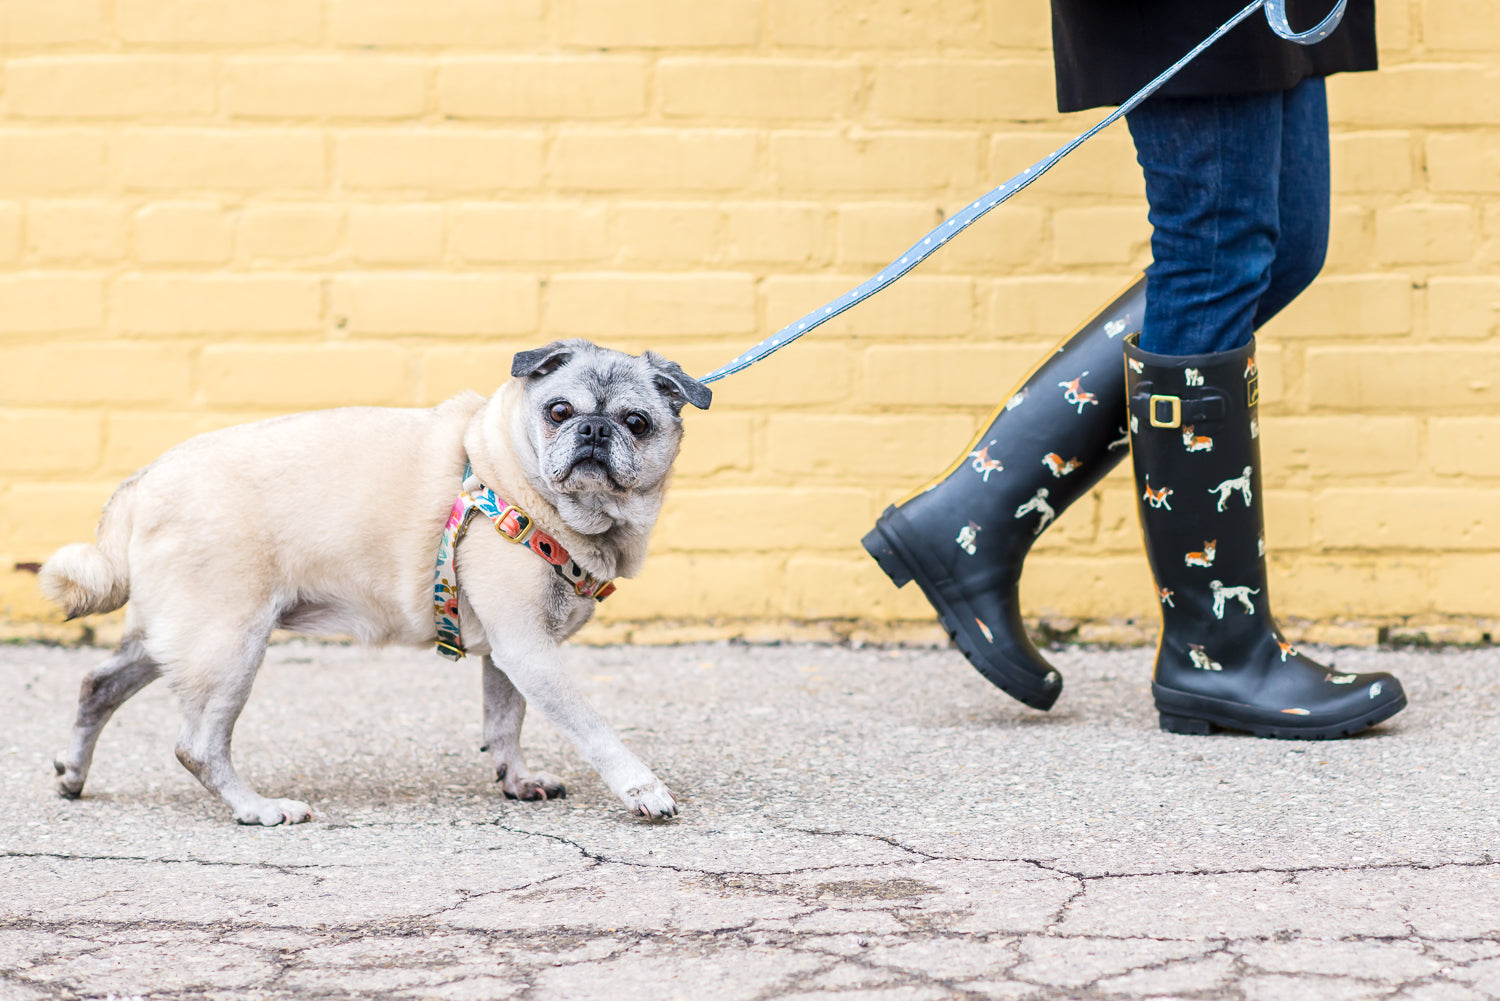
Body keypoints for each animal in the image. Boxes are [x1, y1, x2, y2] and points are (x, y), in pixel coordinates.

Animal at [38, 340, 711, 828]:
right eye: (559, 412)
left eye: (637, 422)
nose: (594, 431)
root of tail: (143, 482)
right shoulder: (529, 649)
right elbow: (592, 729)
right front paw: (643, 788)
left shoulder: (510, 653)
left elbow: (504, 723)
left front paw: (517, 780)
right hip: (228, 645)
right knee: (198, 746)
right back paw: (257, 809)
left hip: (176, 637)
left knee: (98, 684)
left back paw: (73, 772)